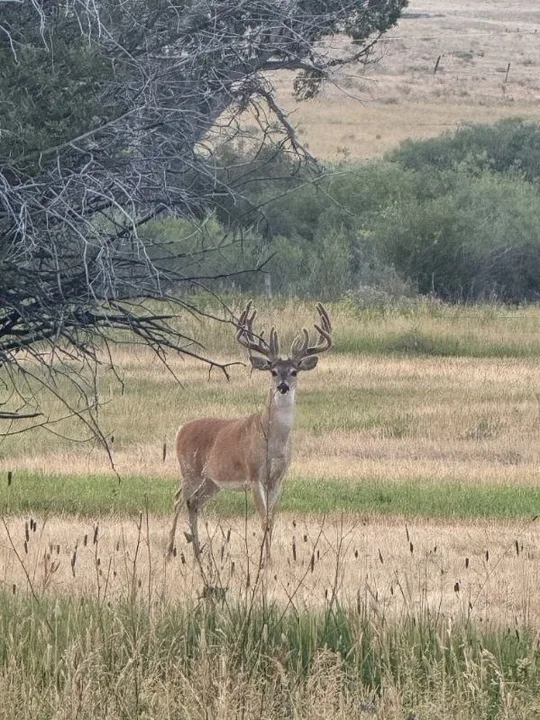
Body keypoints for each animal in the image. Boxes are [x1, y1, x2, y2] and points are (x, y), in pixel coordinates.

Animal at [167, 298, 332, 564]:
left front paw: (269, 558)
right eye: (273, 370)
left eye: (294, 371)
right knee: (178, 500)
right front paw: (265, 561)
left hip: (212, 481)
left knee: (194, 502)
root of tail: (181, 429)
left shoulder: (278, 478)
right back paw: (170, 550)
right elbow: (264, 519)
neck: (273, 442)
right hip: (189, 469)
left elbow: (272, 520)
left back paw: (197, 554)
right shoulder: (254, 473)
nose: (283, 386)